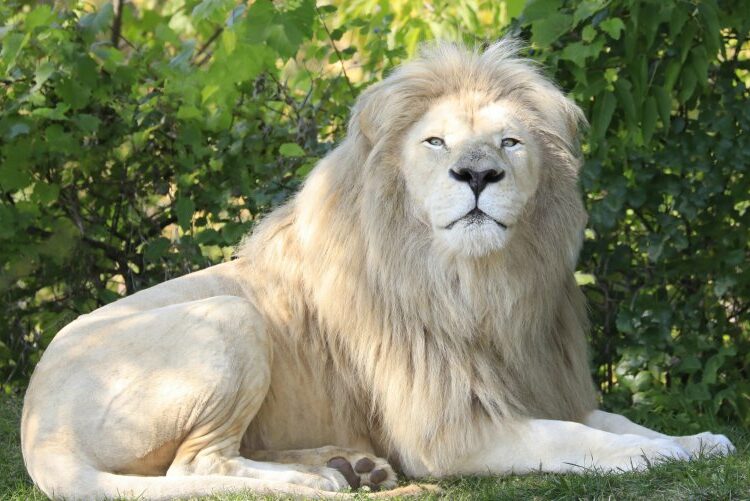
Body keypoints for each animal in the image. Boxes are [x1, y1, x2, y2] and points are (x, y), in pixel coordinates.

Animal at [21, 39, 734, 500]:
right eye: (436, 142)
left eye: (510, 141)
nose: (478, 174)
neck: (480, 287)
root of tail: (38, 428)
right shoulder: (447, 435)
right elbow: (573, 441)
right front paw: (656, 454)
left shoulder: (539, 384)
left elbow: (609, 421)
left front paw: (698, 440)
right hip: (228, 317)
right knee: (194, 468)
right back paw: (314, 479)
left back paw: (351, 464)